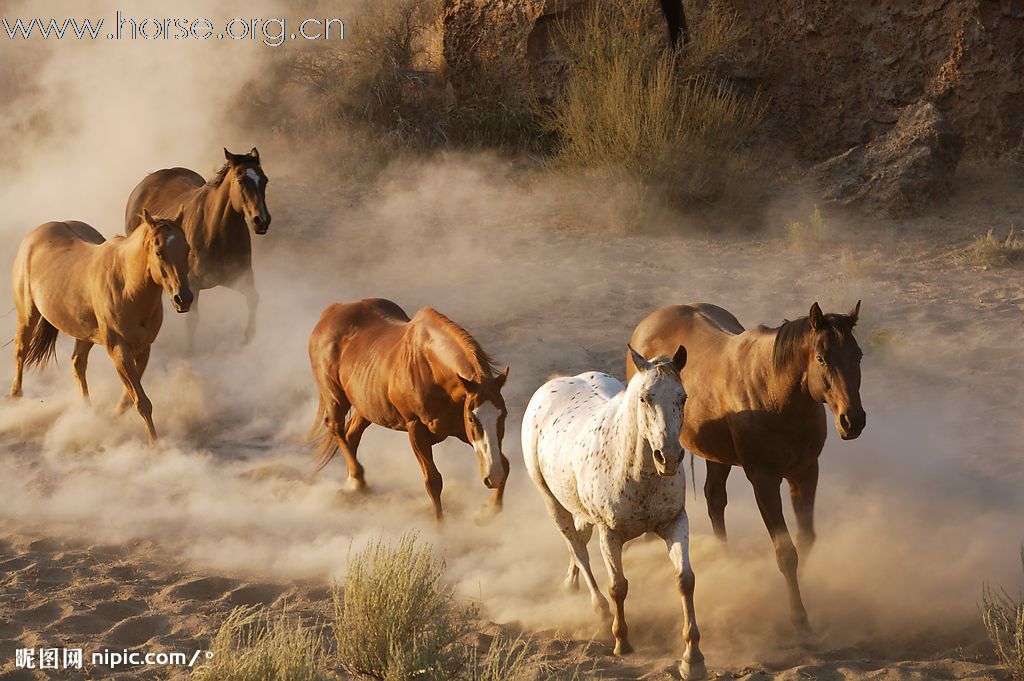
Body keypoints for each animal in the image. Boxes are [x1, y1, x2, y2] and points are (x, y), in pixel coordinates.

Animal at [11, 209, 192, 444]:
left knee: (77, 363)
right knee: (21, 351)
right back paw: (16, 398)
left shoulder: (143, 348)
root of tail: (35, 235)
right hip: (27, 315)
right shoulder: (119, 349)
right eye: (159, 252)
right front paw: (155, 445)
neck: (127, 286)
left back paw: (87, 412)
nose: (184, 299)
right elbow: (142, 401)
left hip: (84, 333)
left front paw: (113, 417)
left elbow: (130, 398)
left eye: (187, 249)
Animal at [124, 148, 272, 350]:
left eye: (264, 180)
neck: (216, 232)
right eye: (241, 181)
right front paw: (190, 350)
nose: (261, 220)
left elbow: (253, 298)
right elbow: (192, 320)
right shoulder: (191, 285)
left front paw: (249, 339)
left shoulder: (241, 277)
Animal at [305, 299, 509, 520]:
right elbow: (433, 481)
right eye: (472, 418)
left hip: (365, 406)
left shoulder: (459, 430)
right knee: (335, 427)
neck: (431, 368)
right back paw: (357, 480)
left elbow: (504, 463)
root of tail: (332, 311)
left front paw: (490, 510)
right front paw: (441, 526)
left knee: (351, 434)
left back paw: (354, 483)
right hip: (335, 397)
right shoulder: (416, 429)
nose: (493, 477)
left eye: (504, 415)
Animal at [630, 301, 864, 630]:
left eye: (858, 355)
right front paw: (798, 615)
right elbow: (786, 551)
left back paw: (726, 559)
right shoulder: (763, 479)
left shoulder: (805, 473)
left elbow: (805, 539)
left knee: (715, 499)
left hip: (716, 456)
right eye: (821, 357)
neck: (776, 395)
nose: (853, 420)